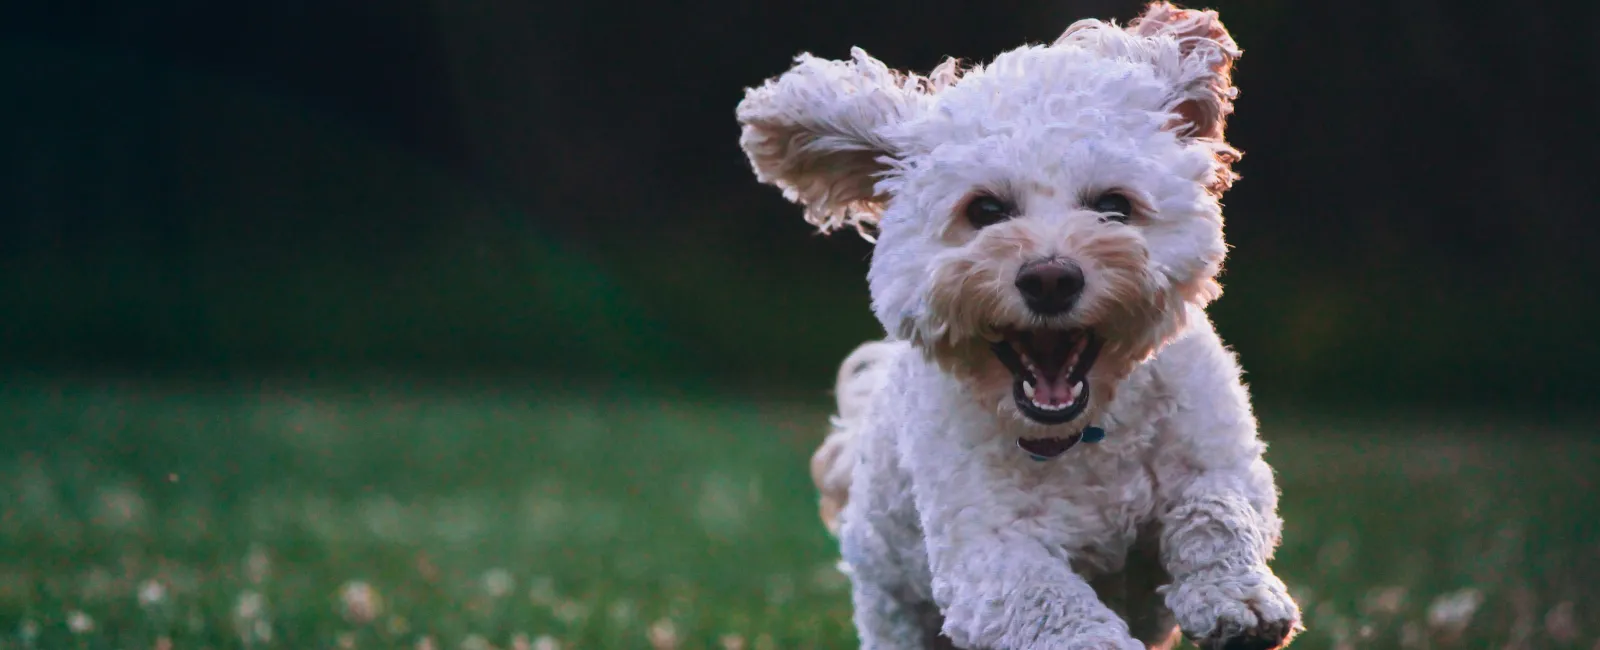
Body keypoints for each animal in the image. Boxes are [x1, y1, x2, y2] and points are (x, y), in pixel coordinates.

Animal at [736, 2, 1299, 646]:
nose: (1051, 279)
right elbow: (1045, 597)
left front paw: (1238, 597)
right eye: (984, 210)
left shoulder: (1219, 455)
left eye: (1114, 206)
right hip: (893, 606)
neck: (1083, 433)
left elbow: (1218, 510)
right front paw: (1098, 638)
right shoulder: (985, 549)